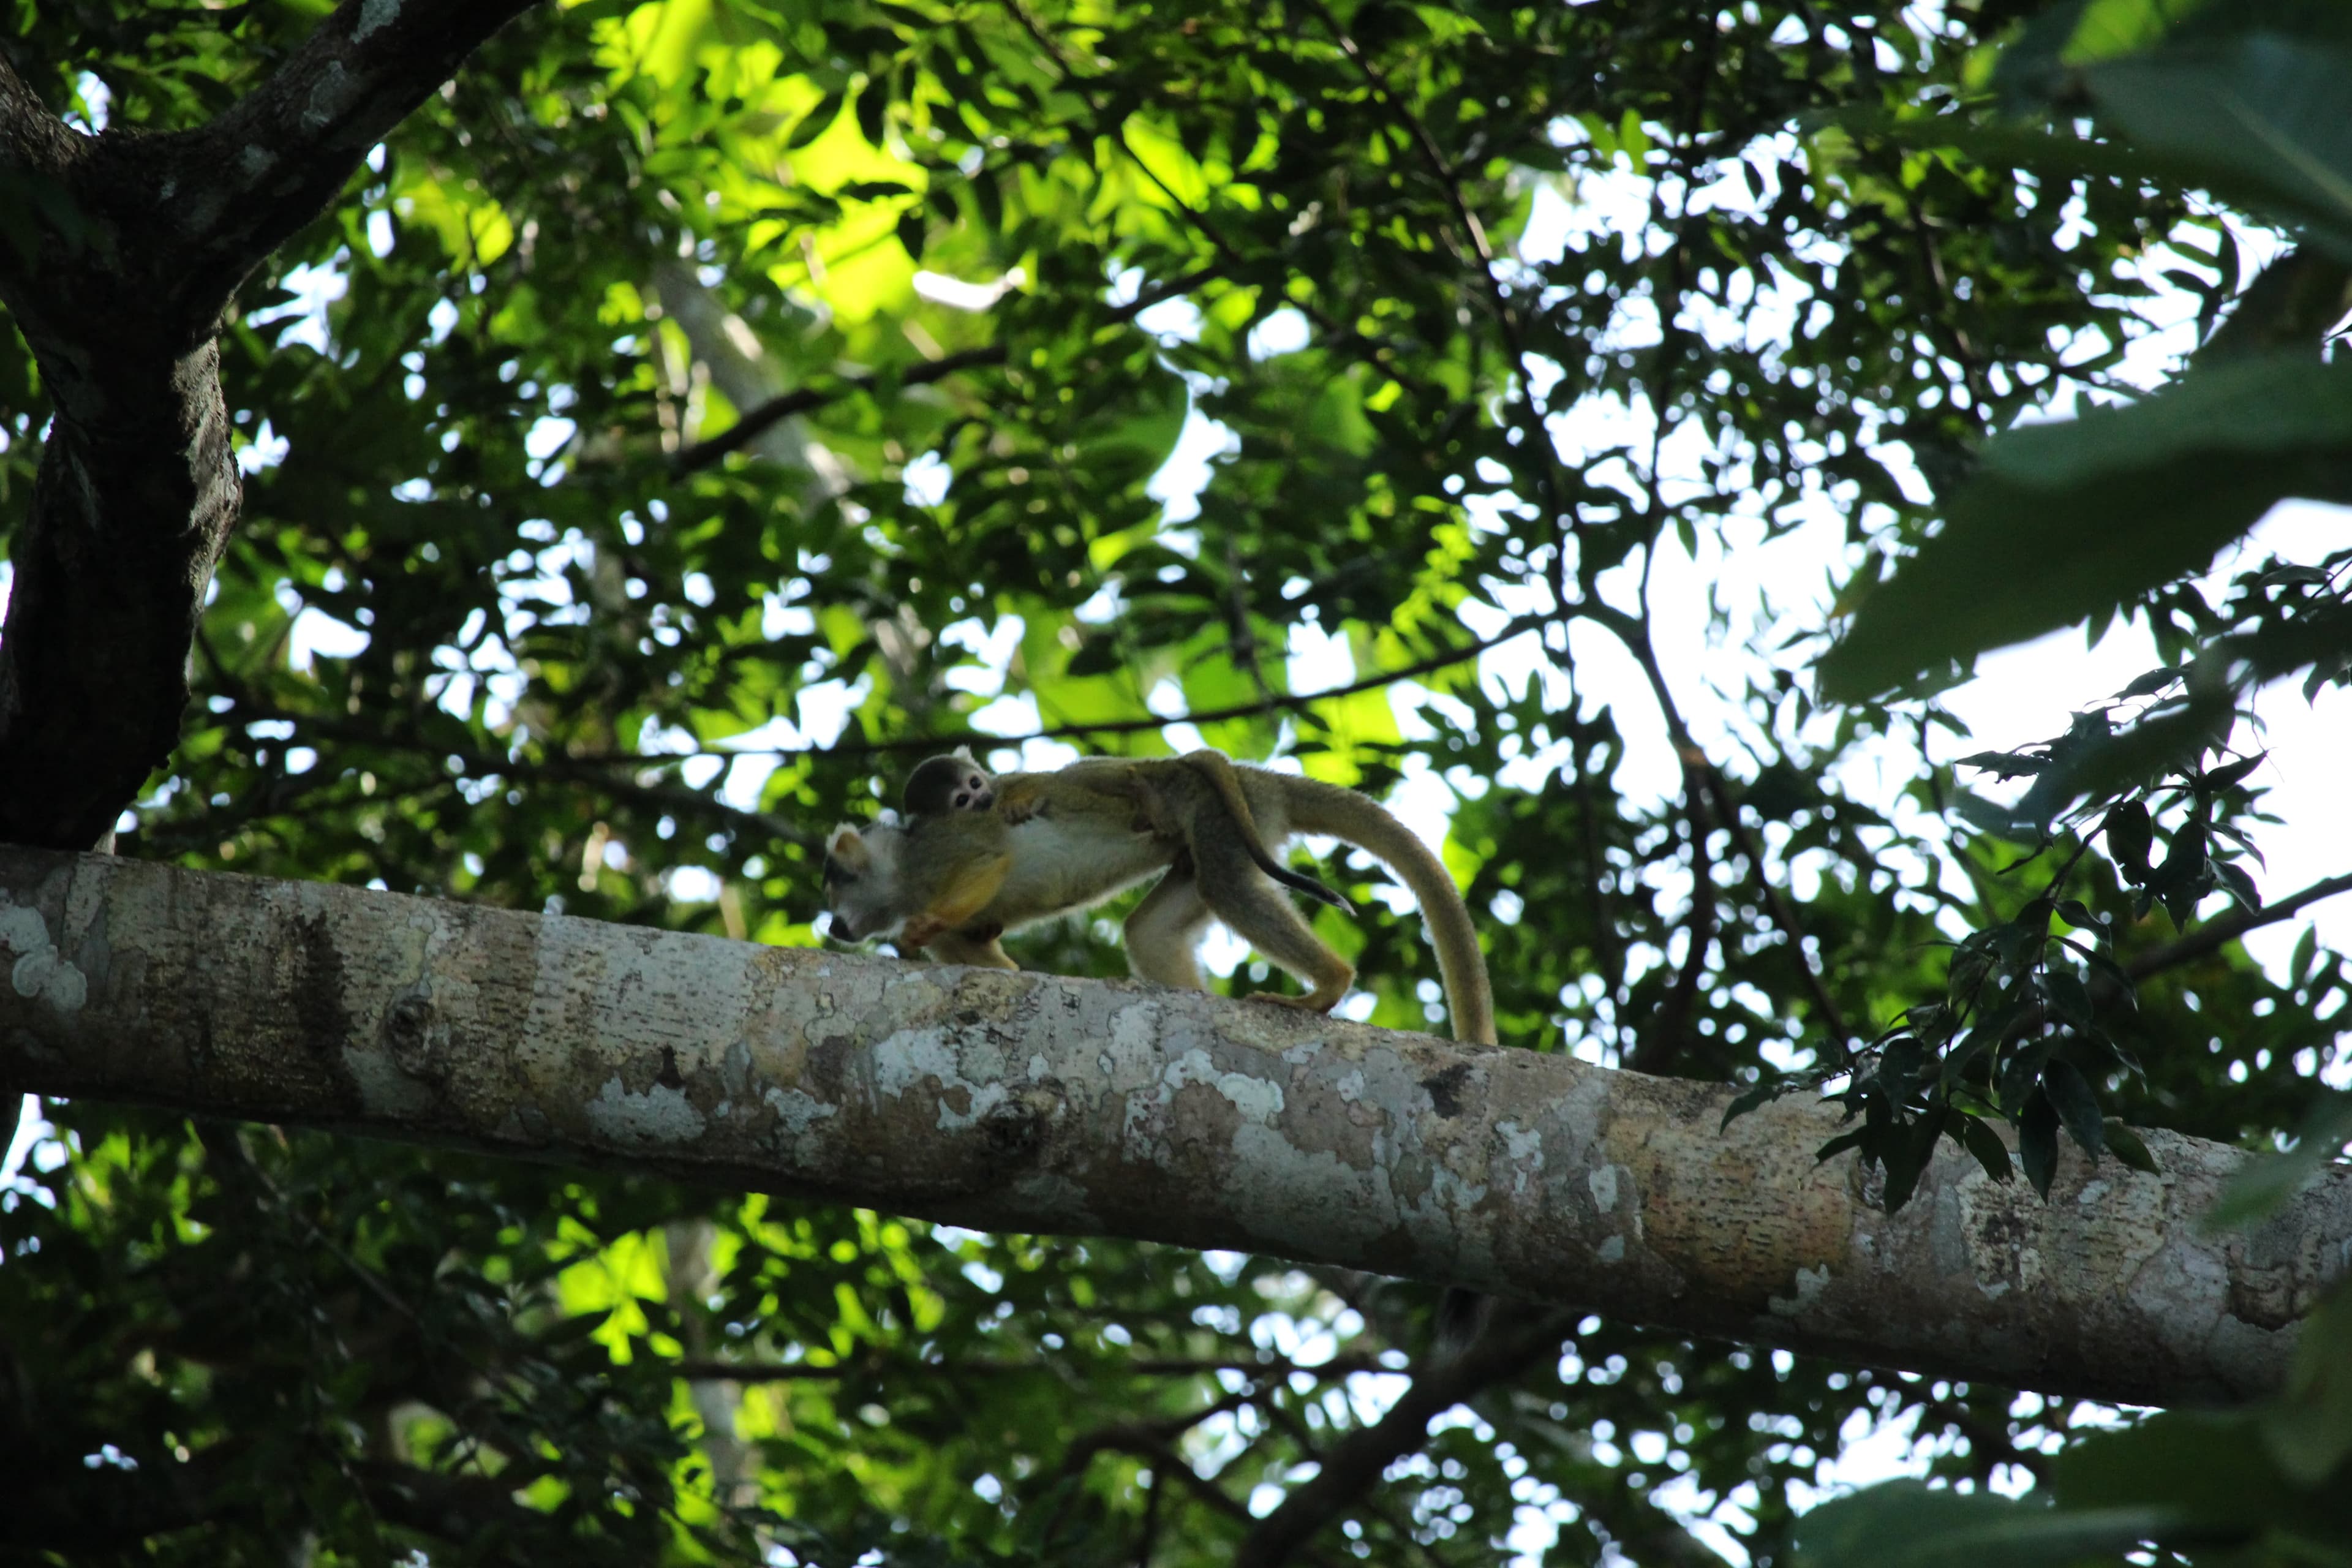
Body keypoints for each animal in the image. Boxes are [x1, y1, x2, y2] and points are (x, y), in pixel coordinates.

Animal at [818, 747, 1496, 1044]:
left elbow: (992, 859)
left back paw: (1329, 983)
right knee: (1154, 927)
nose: (834, 929)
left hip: (1221, 815)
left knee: (1226, 882)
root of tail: (1253, 778)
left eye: (834, 889)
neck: (905, 874)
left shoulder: (943, 849)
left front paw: (919, 928)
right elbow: (990, 965)